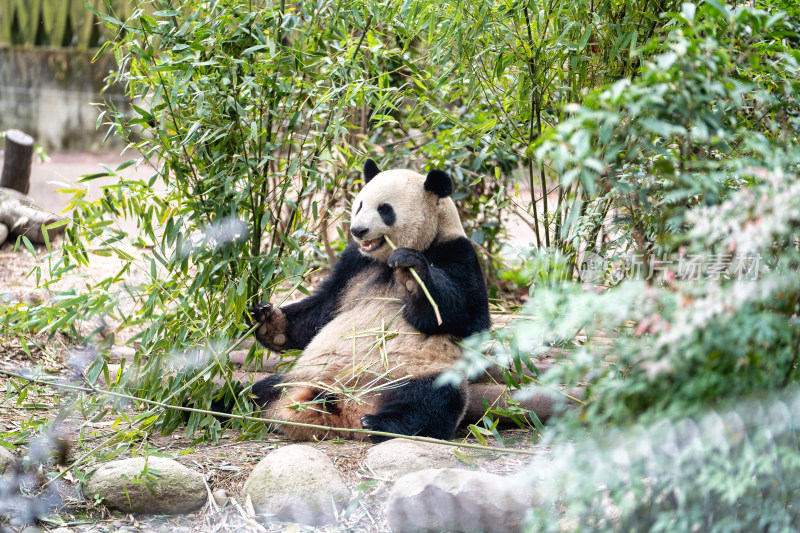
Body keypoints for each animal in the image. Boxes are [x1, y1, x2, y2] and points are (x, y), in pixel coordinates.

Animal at [222, 159, 490, 440]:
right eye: (360, 204)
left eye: (385, 210)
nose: (358, 230)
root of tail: (346, 407)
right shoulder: (353, 265)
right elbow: (321, 311)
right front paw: (267, 322)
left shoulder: (458, 252)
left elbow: (463, 314)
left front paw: (410, 274)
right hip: (297, 376)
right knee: (247, 394)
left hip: (411, 372)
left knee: (432, 400)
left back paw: (380, 423)